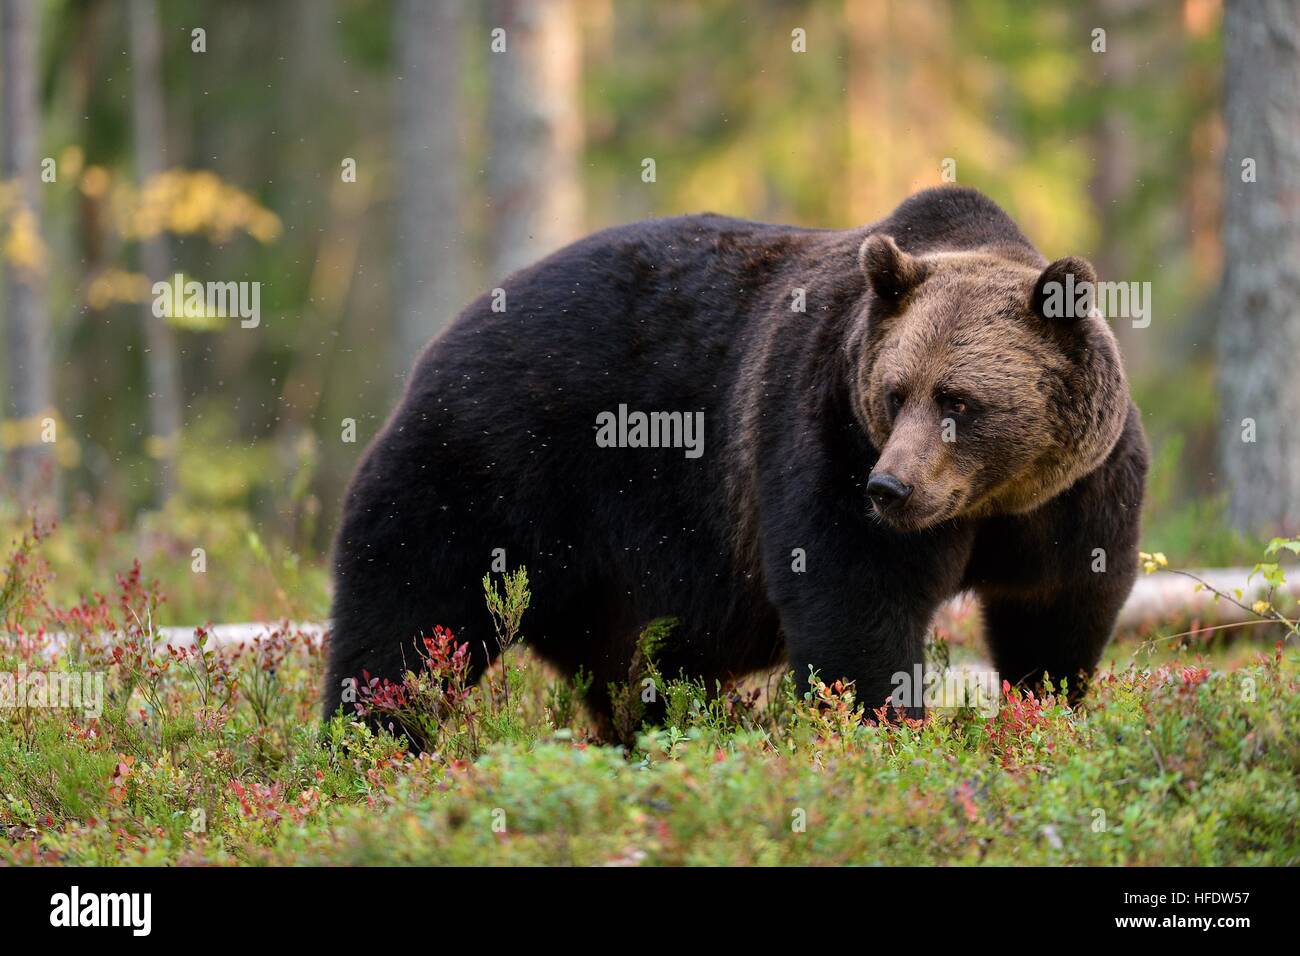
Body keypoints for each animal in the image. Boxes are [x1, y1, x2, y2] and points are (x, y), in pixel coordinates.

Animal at [323, 185, 1148, 733]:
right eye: (894, 391)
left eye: (959, 401)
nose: (891, 487)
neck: (992, 500)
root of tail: (445, 337)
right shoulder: (826, 434)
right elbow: (856, 604)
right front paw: (880, 726)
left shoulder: (1077, 494)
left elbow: (1059, 611)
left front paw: (1045, 711)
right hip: (489, 466)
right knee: (409, 619)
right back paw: (368, 742)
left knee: (638, 677)